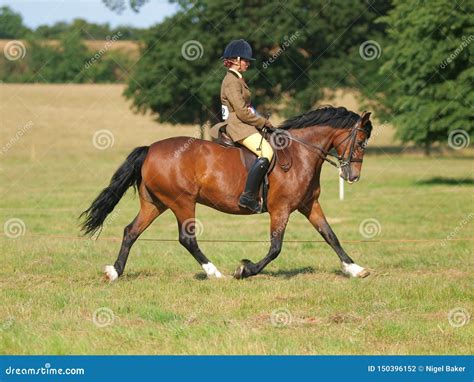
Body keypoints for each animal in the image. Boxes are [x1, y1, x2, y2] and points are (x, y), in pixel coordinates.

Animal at [79, 106, 372, 282]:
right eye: (360, 142)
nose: (353, 176)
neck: (300, 153)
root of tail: (150, 149)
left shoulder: (309, 204)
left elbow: (330, 235)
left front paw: (355, 268)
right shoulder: (281, 209)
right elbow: (275, 248)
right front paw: (245, 269)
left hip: (155, 203)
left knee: (131, 231)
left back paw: (115, 272)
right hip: (183, 202)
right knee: (187, 239)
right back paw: (214, 272)